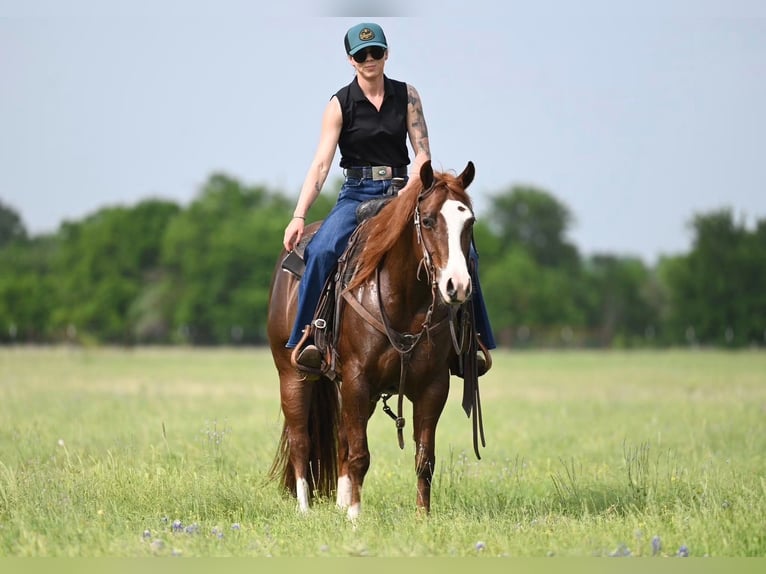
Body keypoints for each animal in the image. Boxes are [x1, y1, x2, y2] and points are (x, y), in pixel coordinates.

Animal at [266, 160, 482, 519]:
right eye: (428, 220)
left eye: (470, 222)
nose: (458, 286)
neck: (404, 299)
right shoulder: (357, 379)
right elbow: (360, 456)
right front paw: (356, 517)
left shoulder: (433, 386)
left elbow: (424, 459)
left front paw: (422, 518)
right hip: (293, 375)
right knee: (301, 441)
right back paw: (305, 509)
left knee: (341, 439)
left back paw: (339, 504)